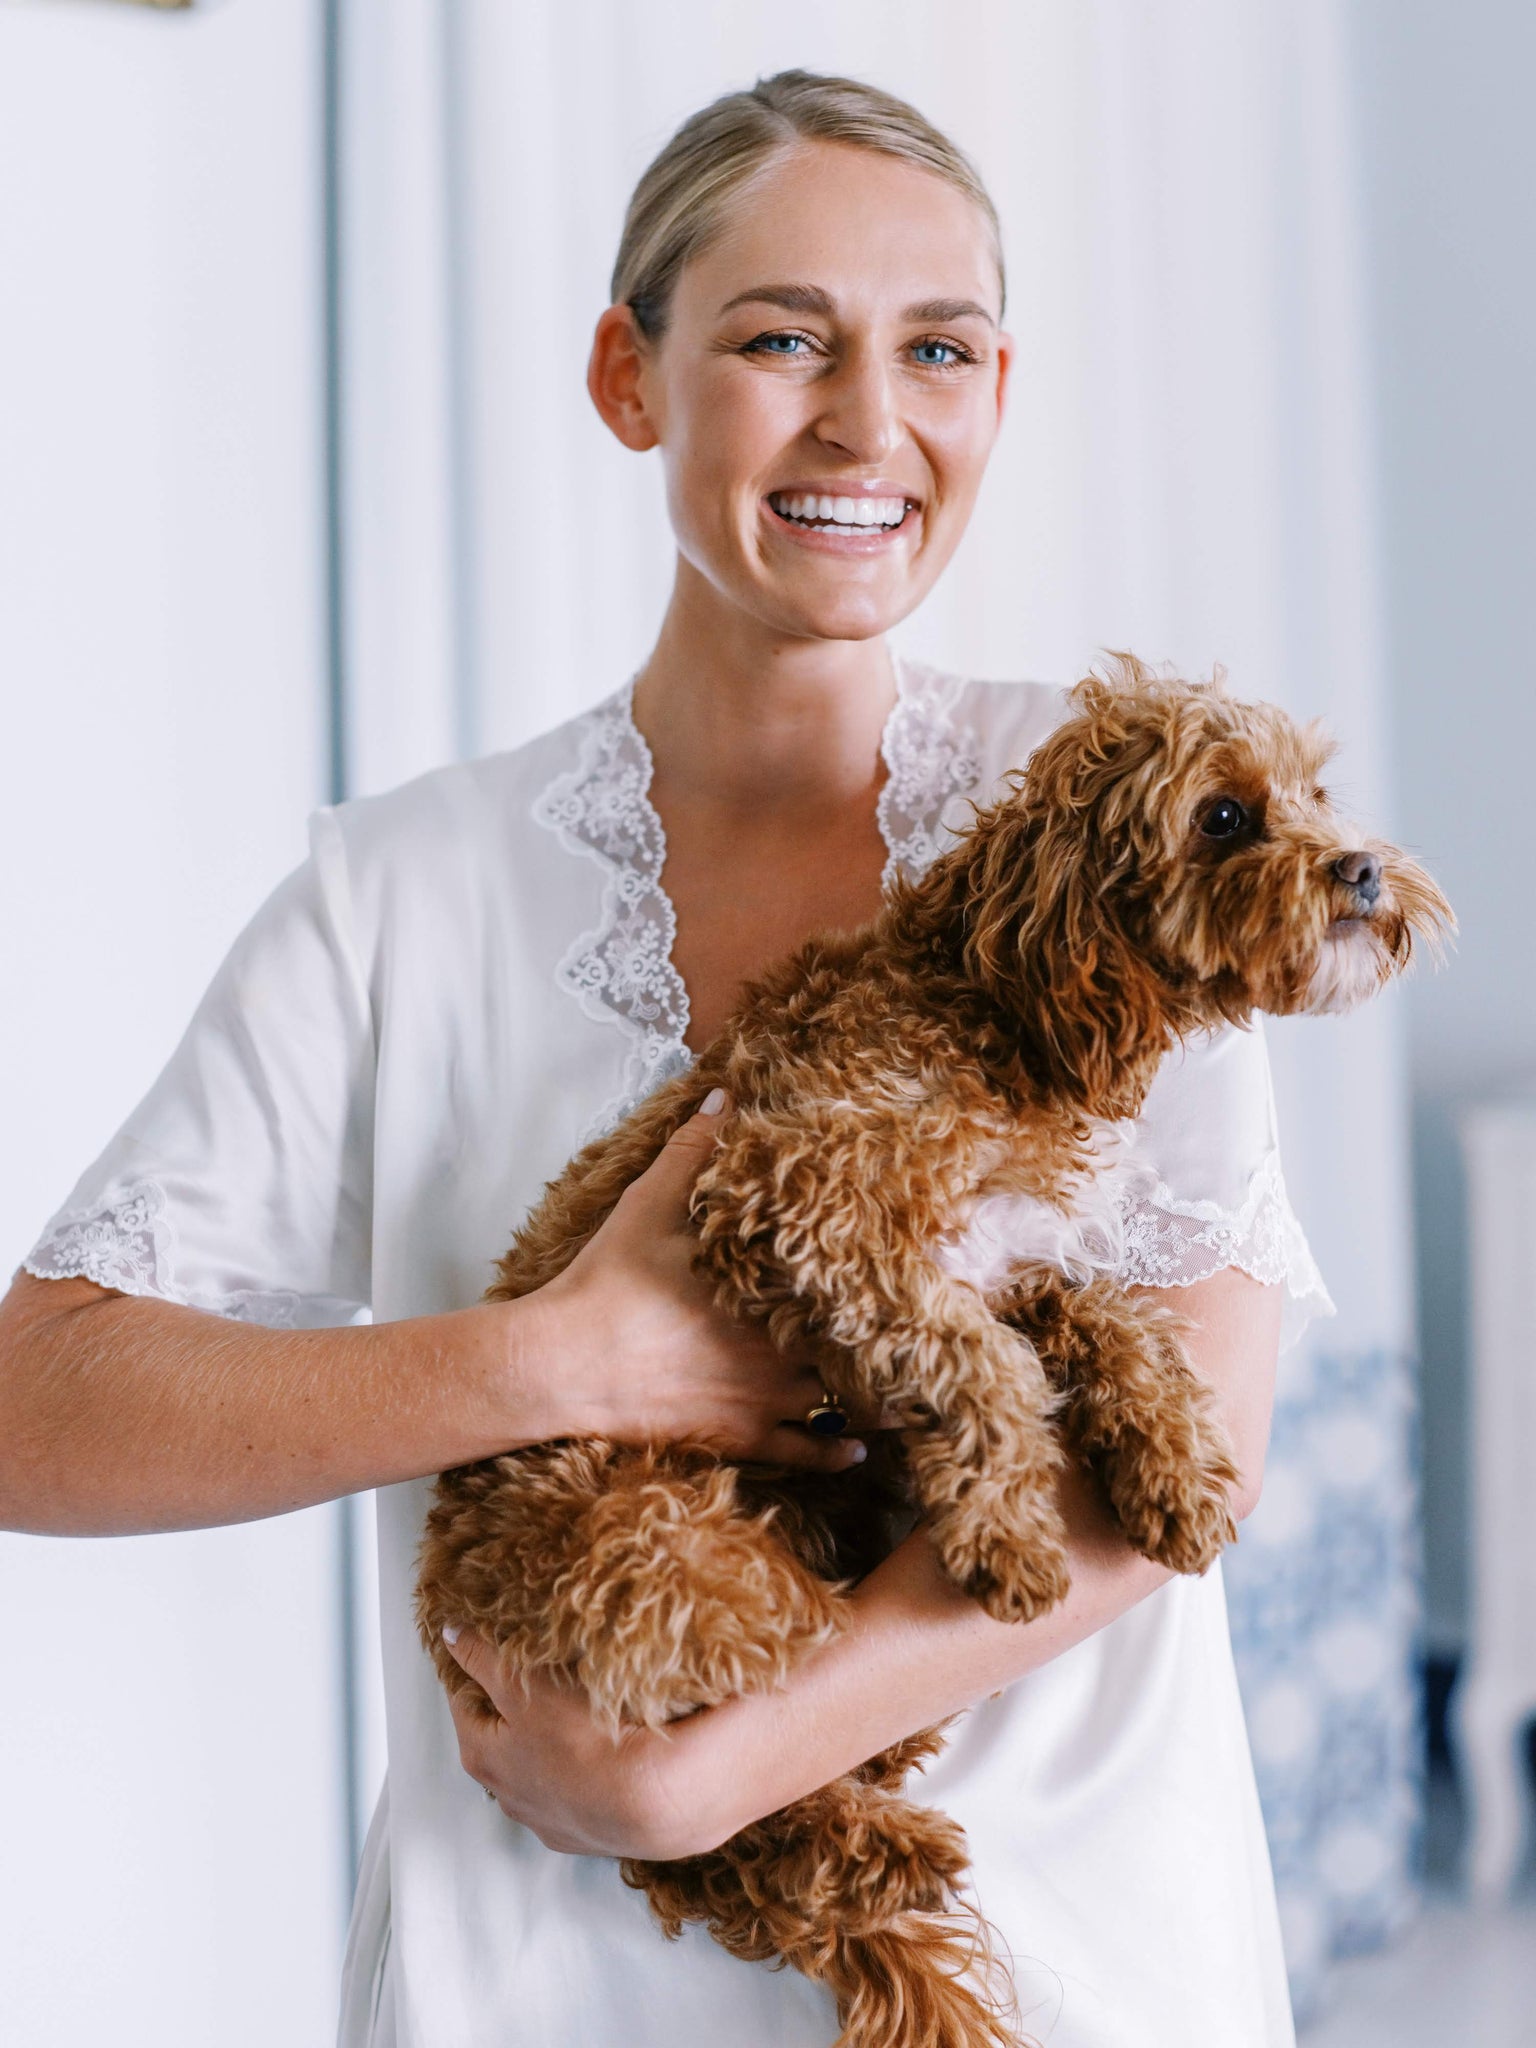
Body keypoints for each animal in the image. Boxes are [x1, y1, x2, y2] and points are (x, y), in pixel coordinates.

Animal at [415, 659, 1449, 2048]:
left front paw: (1174, 1462)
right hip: (679, 1565)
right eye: (1226, 816)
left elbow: (1111, 1317)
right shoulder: (803, 1195)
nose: (1362, 868)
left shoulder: (1013, 1260)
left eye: (1317, 792)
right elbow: (983, 1368)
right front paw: (1012, 1529)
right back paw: (881, 1841)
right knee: (726, 1780)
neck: (992, 1006)